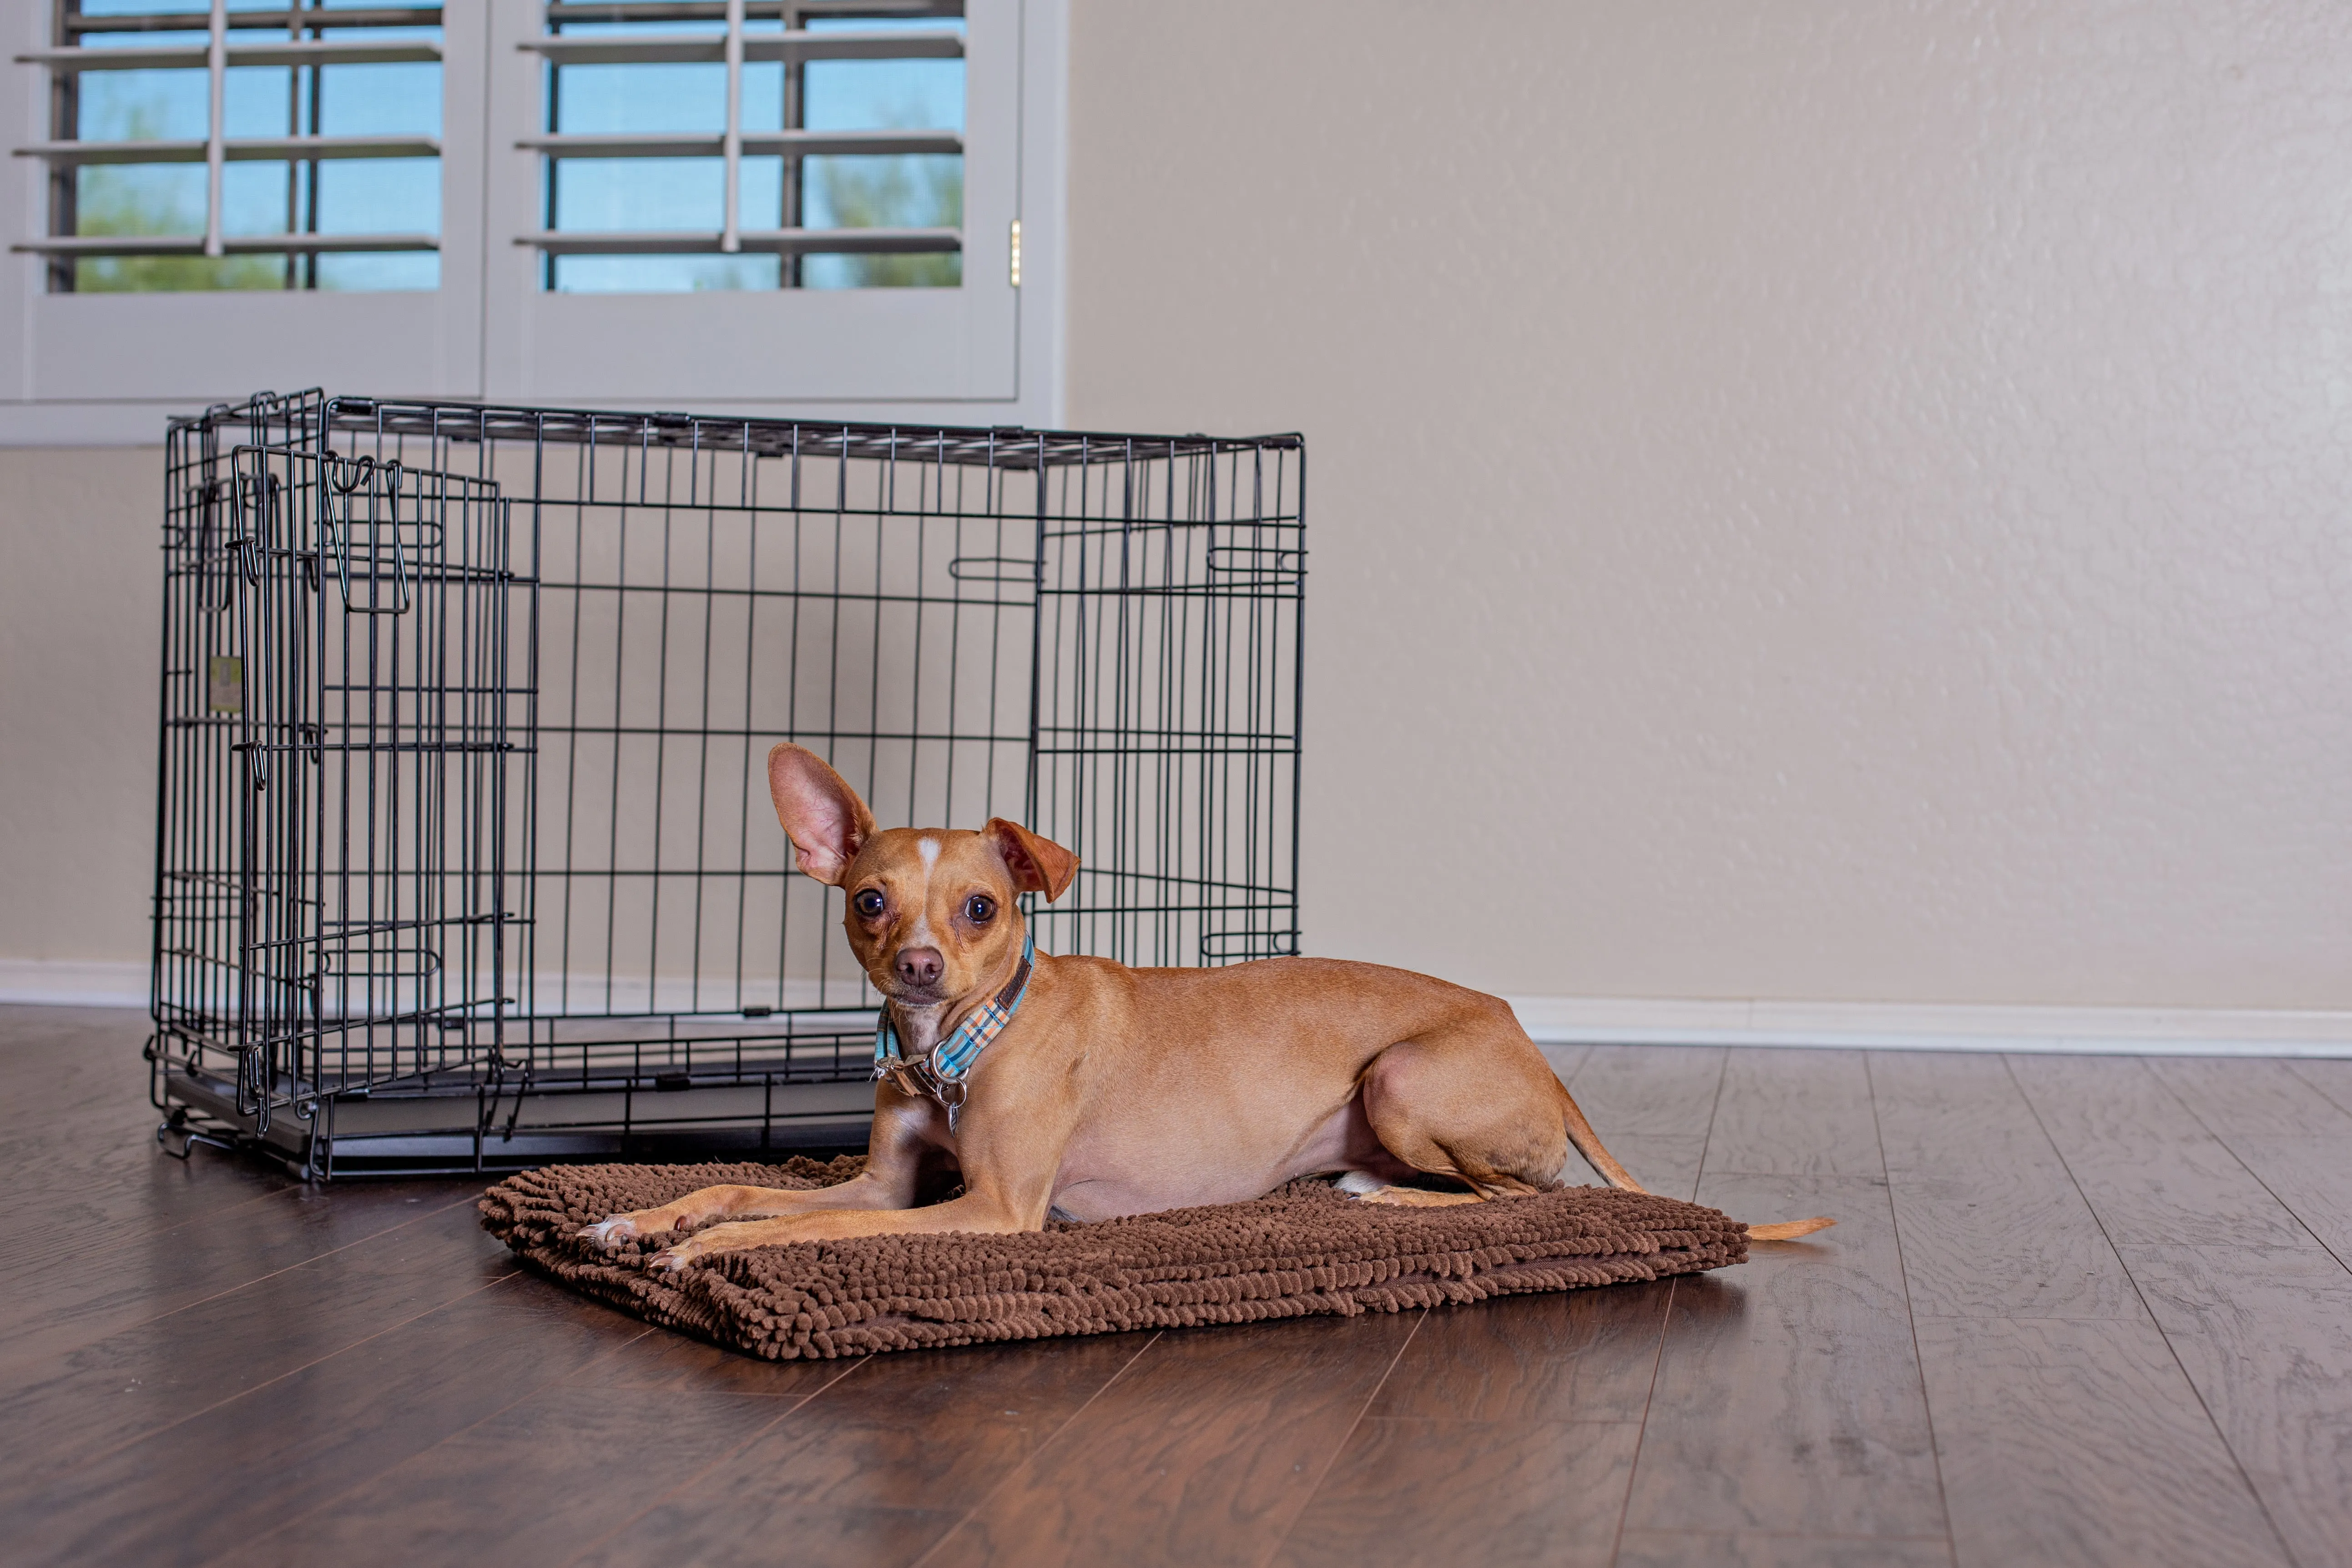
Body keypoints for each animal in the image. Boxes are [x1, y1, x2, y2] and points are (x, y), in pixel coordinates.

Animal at [588, 743, 1834, 1269]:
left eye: (983, 906)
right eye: (870, 901)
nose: (923, 967)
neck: (956, 1048)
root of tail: (1524, 1035)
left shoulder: (993, 1210)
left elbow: (805, 1224)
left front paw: (712, 1251)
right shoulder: (891, 1180)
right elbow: (740, 1185)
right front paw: (645, 1220)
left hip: (1402, 1076)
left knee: (1522, 1200)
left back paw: (1387, 1204)